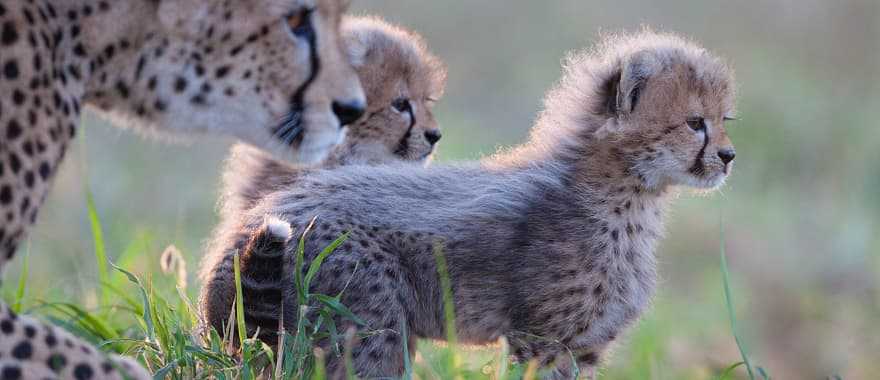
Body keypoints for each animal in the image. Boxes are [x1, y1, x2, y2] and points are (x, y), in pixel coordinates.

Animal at [218, 31, 736, 378]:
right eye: (695, 123)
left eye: (724, 120)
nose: (729, 156)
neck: (630, 195)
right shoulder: (544, 342)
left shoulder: (584, 347)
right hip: (368, 325)